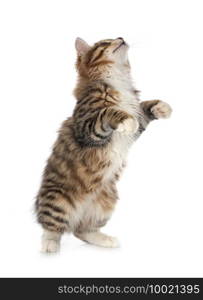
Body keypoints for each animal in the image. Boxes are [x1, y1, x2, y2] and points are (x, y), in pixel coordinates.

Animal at [35, 37, 172, 253]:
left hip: (106, 202)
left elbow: (144, 108)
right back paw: (49, 245)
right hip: (58, 201)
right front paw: (125, 118)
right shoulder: (87, 127)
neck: (116, 80)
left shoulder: (138, 121)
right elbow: (108, 112)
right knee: (52, 226)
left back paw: (104, 240)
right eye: (106, 42)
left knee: (81, 230)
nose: (121, 37)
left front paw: (162, 107)